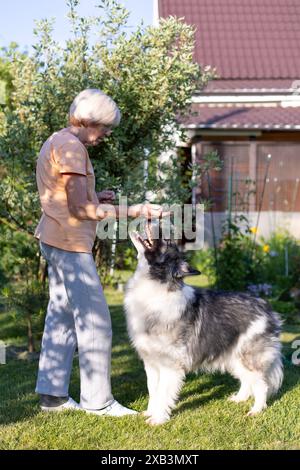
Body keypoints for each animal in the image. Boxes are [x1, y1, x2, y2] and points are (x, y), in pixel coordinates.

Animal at [124, 222, 284, 424]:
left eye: (166, 240)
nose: (156, 222)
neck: (155, 286)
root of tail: (267, 309)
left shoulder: (170, 366)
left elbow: (162, 394)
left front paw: (158, 418)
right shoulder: (151, 364)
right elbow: (153, 392)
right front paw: (150, 412)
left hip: (247, 357)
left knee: (261, 384)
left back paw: (256, 410)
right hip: (234, 357)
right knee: (247, 380)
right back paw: (239, 398)